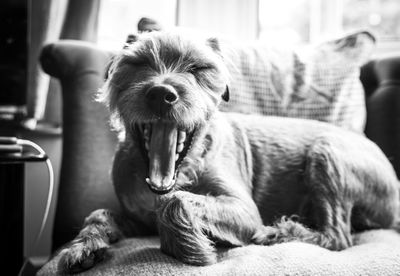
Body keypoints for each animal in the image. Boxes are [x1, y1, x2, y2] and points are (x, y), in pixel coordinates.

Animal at [57, 31, 400, 272]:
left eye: (198, 68)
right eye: (137, 63)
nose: (161, 94)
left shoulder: (244, 210)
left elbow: (176, 200)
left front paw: (191, 248)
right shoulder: (137, 219)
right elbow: (100, 213)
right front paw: (81, 247)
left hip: (326, 151)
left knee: (338, 236)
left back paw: (281, 232)